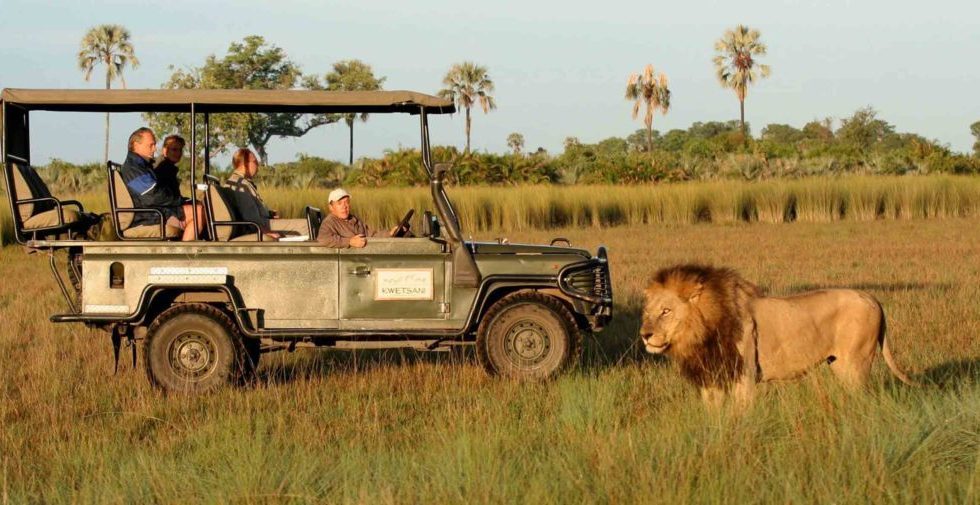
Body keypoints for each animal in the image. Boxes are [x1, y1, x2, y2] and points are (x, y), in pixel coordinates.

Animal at [640, 264, 916, 406]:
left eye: (666, 311)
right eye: (647, 311)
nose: (645, 335)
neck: (702, 334)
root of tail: (872, 297)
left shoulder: (744, 377)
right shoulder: (711, 380)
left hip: (855, 364)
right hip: (839, 365)